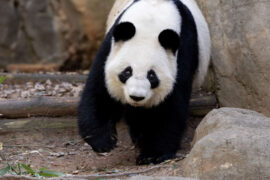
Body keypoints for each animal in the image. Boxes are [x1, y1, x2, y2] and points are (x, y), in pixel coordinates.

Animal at [78, 0, 211, 165]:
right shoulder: (110, 48)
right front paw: (103, 141)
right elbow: (99, 92)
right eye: (127, 72)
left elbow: (170, 106)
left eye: (152, 76)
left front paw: (152, 154)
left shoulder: (183, 51)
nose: (137, 96)